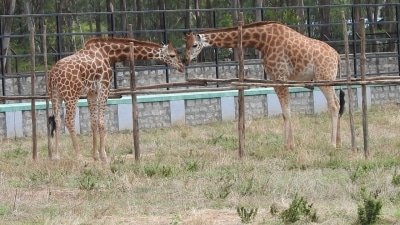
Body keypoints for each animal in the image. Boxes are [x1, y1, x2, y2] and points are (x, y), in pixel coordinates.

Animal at [47, 37, 184, 162]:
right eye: (172, 55)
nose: (182, 67)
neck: (109, 54)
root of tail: (53, 74)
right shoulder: (104, 86)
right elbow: (101, 122)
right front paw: (104, 155)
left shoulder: (92, 92)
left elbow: (94, 122)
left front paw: (95, 155)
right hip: (71, 94)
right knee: (69, 120)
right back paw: (79, 156)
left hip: (55, 95)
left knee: (57, 120)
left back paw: (56, 156)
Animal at [184, 21, 344, 149]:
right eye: (185, 44)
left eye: (195, 45)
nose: (185, 60)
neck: (262, 41)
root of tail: (337, 56)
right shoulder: (274, 80)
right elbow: (284, 113)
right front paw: (285, 145)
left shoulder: (281, 77)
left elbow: (287, 111)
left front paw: (290, 145)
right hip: (328, 80)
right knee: (338, 103)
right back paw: (338, 141)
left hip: (324, 79)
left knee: (334, 105)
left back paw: (332, 144)